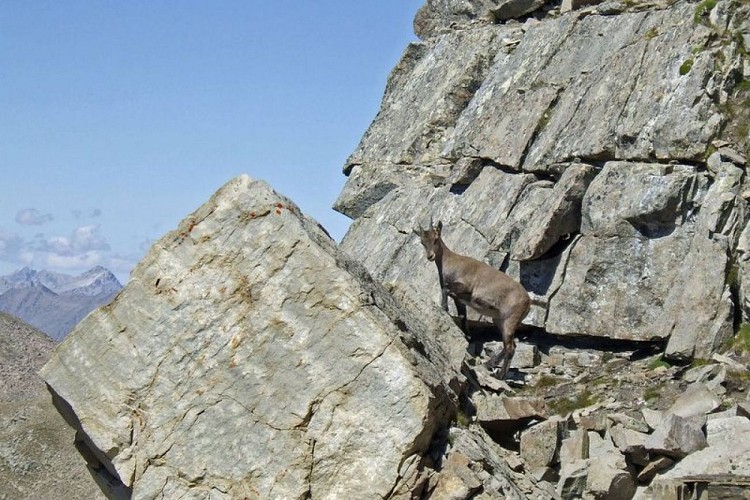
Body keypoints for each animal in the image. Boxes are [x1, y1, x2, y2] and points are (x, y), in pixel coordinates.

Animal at [414, 220, 530, 379]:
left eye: (436, 239)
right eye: (422, 242)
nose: (430, 256)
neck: (450, 263)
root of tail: (529, 302)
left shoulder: (466, 287)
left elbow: (445, 289)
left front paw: (444, 307)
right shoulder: (460, 299)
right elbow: (462, 316)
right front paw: (468, 337)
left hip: (510, 320)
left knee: (510, 348)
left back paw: (498, 374)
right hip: (499, 320)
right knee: (511, 346)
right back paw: (492, 367)